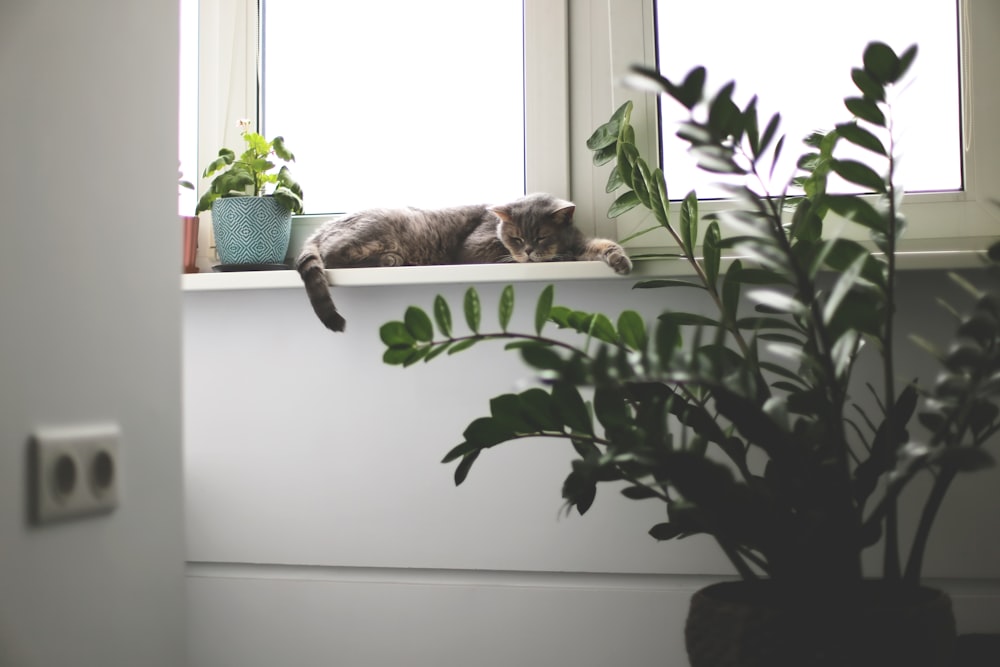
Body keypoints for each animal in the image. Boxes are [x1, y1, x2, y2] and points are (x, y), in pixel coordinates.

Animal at [292, 192, 632, 332]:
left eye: (541, 236)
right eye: (517, 238)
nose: (528, 252)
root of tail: (321, 228)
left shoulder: (580, 242)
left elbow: (601, 246)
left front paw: (620, 259)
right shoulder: (475, 249)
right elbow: (502, 257)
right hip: (379, 228)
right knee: (334, 256)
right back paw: (390, 259)